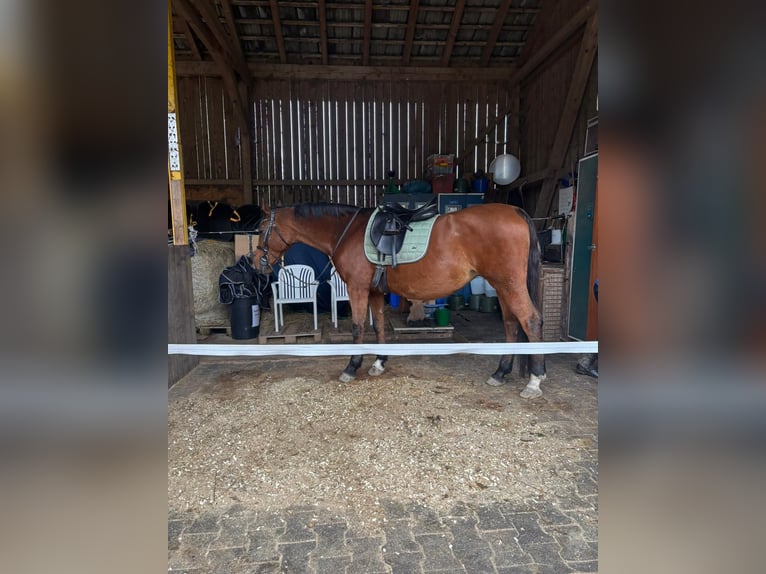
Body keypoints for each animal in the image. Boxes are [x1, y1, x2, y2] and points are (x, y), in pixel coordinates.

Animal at [255, 202, 547, 398]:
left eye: (261, 228)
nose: (256, 263)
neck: (347, 231)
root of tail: (516, 212)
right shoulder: (374, 291)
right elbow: (378, 325)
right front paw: (379, 362)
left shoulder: (358, 288)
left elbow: (358, 327)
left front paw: (351, 367)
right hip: (502, 286)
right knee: (510, 324)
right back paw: (500, 372)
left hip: (510, 285)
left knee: (530, 321)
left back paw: (534, 380)